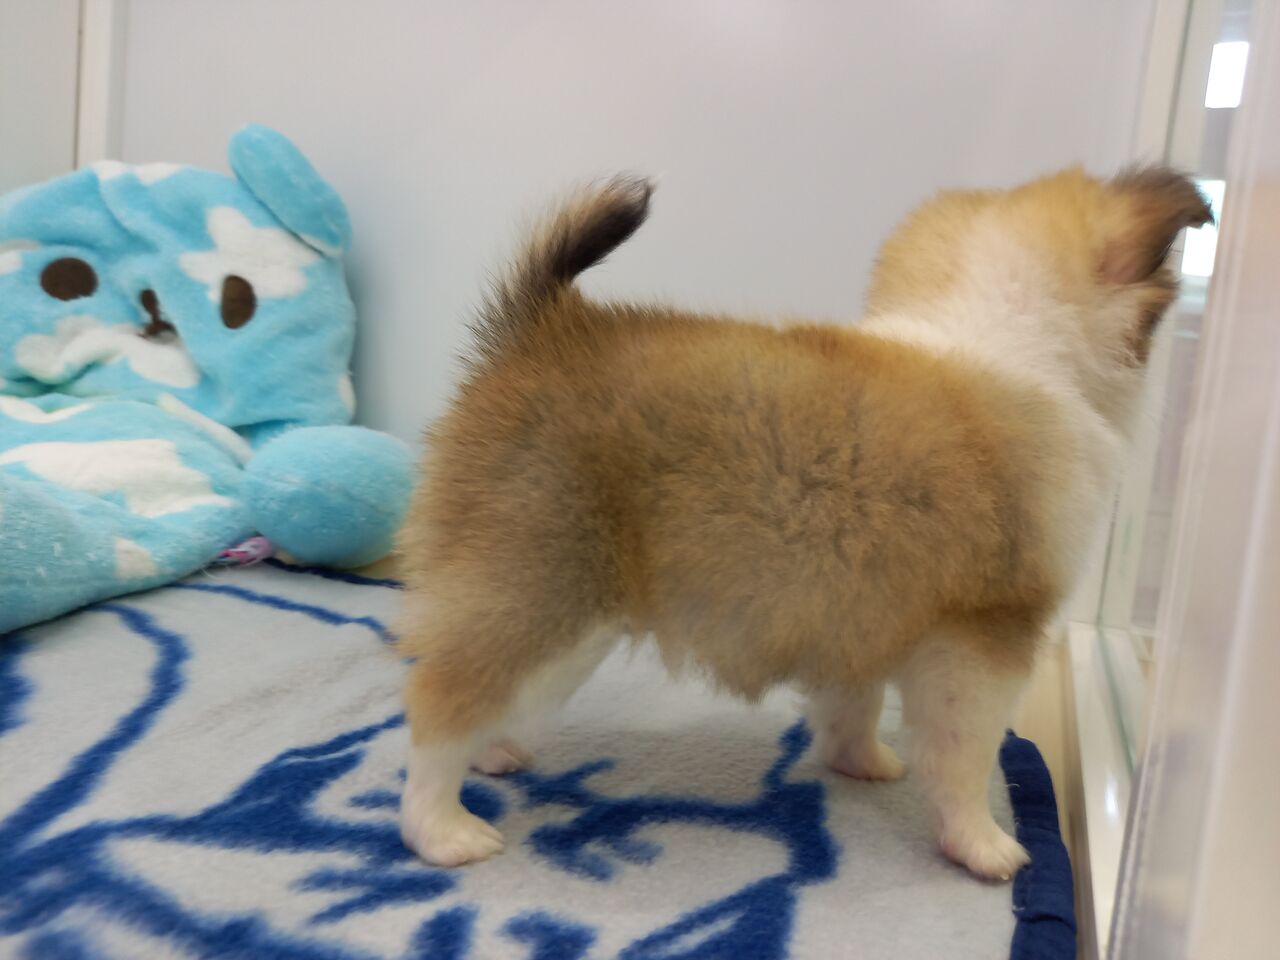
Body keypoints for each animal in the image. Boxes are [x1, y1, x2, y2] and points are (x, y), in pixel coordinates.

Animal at [394, 168, 1210, 879]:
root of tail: (543, 329)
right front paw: (981, 845)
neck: (1014, 342)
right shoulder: (986, 645)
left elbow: (854, 703)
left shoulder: (863, 614)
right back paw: (445, 830)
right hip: (545, 595)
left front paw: (862, 763)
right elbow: (965, 760)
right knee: (439, 708)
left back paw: (499, 754)